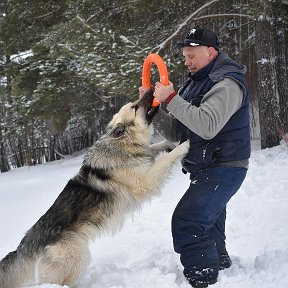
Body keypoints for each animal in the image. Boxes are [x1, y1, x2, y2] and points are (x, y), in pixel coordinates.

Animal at [0, 90, 189, 288]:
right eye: (134, 107)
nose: (150, 90)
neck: (123, 144)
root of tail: (25, 245)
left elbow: (154, 149)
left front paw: (168, 145)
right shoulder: (144, 182)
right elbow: (165, 160)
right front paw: (184, 145)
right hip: (76, 258)